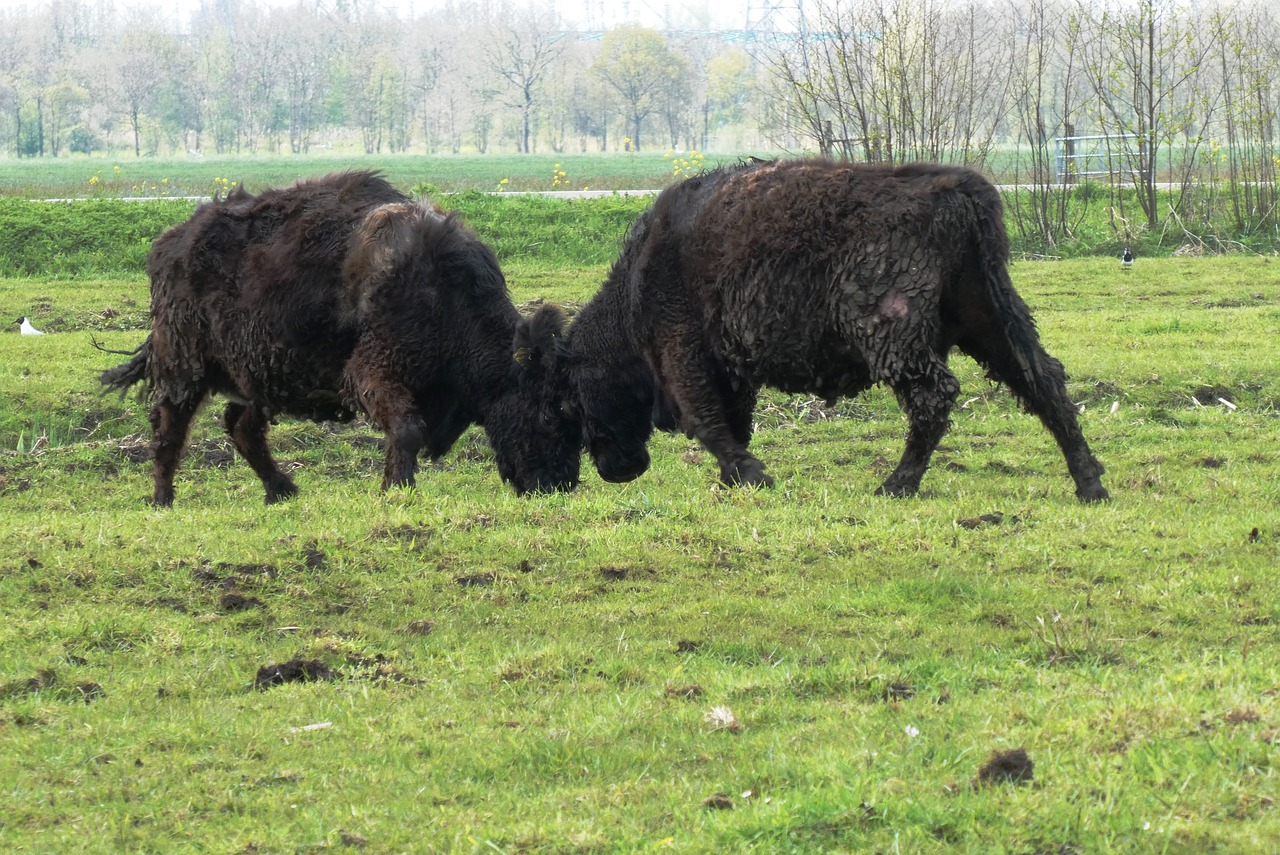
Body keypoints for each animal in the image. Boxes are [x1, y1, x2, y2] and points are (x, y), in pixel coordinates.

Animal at [102, 171, 578, 506]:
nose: (561, 485)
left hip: (255, 377)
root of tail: (171, 242)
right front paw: (397, 489)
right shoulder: (372, 373)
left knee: (241, 427)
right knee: (169, 425)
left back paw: (282, 490)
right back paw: (163, 498)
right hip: (184, 365)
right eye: (548, 413)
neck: (443, 290)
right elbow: (407, 428)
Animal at [519, 158, 1111, 501]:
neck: (637, 282)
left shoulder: (682, 350)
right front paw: (735, 477)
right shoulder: (729, 368)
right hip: (990, 317)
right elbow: (731, 422)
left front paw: (753, 475)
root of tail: (954, 185)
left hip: (892, 331)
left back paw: (896, 485)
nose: (613, 471)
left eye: (565, 403)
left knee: (935, 394)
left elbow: (707, 422)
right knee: (1042, 379)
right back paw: (1089, 482)